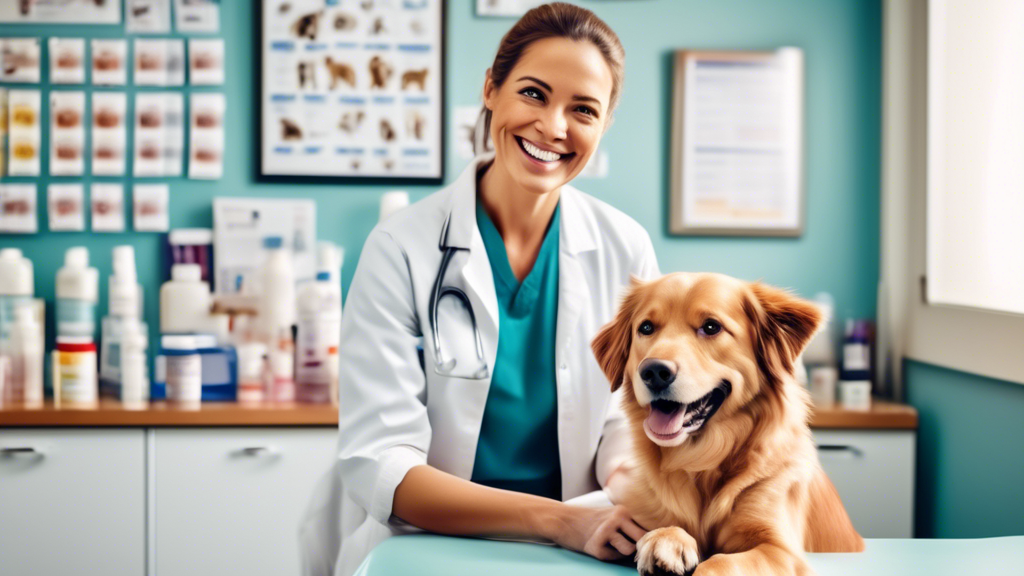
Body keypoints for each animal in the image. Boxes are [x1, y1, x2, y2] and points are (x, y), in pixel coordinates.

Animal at [593, 272, 864, 573]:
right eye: (646, 328)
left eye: (711, 327)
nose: (653, 371)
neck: (702, 460)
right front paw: (666, 540)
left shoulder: (782, 552)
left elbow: (720, 562)